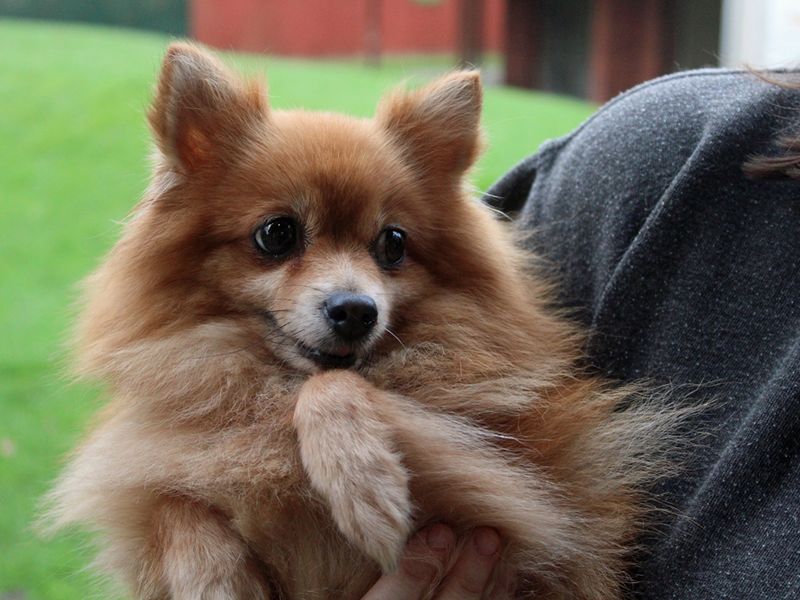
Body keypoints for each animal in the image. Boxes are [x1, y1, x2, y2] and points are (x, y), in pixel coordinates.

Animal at [45, 44, 680, 596]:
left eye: (392, 244)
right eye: (277, 234)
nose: (356, 309)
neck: (266, 392)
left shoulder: (523, 500)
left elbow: (332, 387)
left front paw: (367, 488)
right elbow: (172, 503)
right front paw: (212, 577)